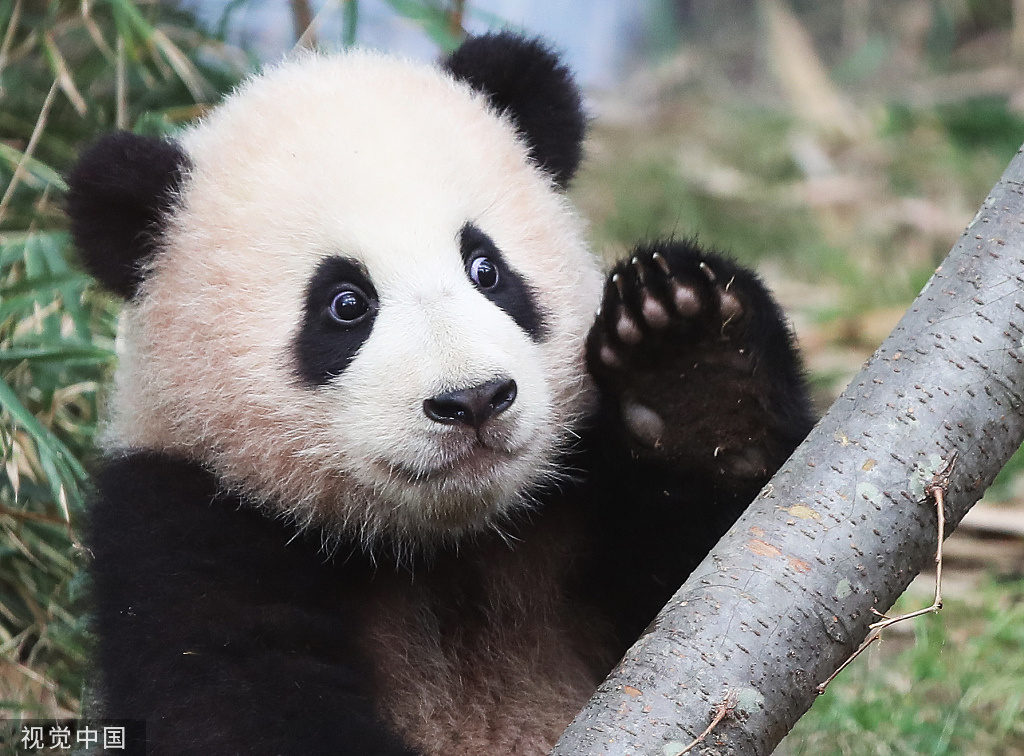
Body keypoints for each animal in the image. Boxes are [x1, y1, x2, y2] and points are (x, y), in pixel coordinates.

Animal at [68, 32, 811, 753]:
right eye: (345, 304)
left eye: (486, 269)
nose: (474, 399)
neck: (442, 546)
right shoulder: (180, 519)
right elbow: (234, 698)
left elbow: (698, 593)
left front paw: (690, 364)